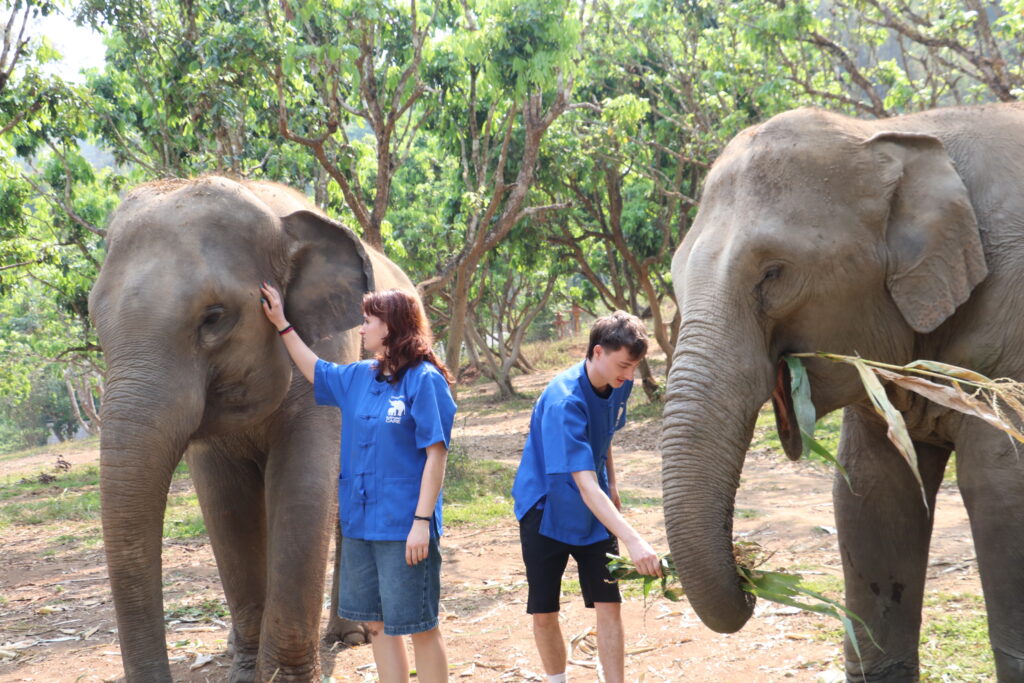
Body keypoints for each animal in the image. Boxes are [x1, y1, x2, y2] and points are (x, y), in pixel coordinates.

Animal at [88, 176, 416, 682]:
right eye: (95, 322)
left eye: (214, 317)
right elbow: (225, 504)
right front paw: (245, 671)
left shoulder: (330, 351)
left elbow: (303, 488)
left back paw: (352, 636)